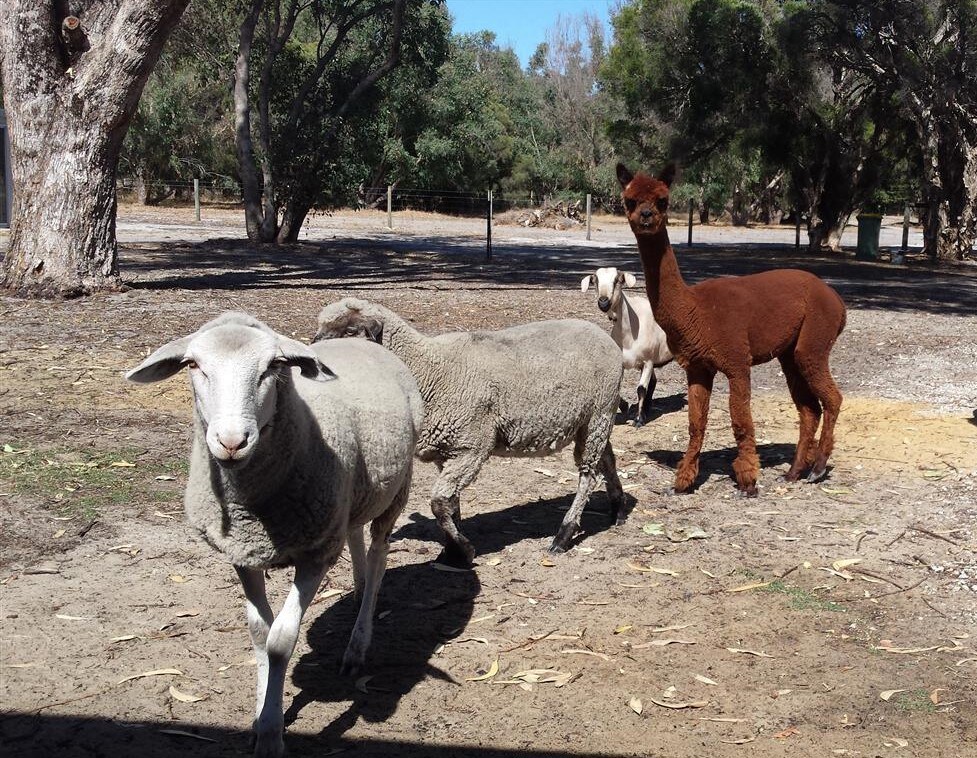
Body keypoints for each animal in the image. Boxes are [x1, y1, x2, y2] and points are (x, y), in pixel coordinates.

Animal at [127, 314, 424, 758]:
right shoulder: (243, 553)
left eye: (273, 366)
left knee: (378, 556)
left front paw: (270, 734)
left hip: (396, 490)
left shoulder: (316, 555)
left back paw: (358, 642)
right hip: (354, 494)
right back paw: (355, 593)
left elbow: (281, 640)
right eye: (193, 365)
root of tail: (364, 342)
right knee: (355, 535)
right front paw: (262, 713)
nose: (232, 441)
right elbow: (258, 632)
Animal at [312, 296, 624, 564]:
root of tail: (604, 336)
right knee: (607, 459)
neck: (429, 369)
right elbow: (451, 503)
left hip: (600, 412)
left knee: (588, 474)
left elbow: (439, 502)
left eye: (350, 330)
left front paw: (464, 549)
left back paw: (564, 535)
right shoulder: (449, 451)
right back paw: (618, 510)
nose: (314, 357)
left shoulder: (473, 447)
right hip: (591, 420)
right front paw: (452, 551)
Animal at [580, 268, 672, 424]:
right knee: (653, 382)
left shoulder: (648, 361)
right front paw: (625, 407)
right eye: (595, 281)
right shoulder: (623, 362)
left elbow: (641, 389)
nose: (603, 302)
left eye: (617, 280)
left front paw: (639, 420)